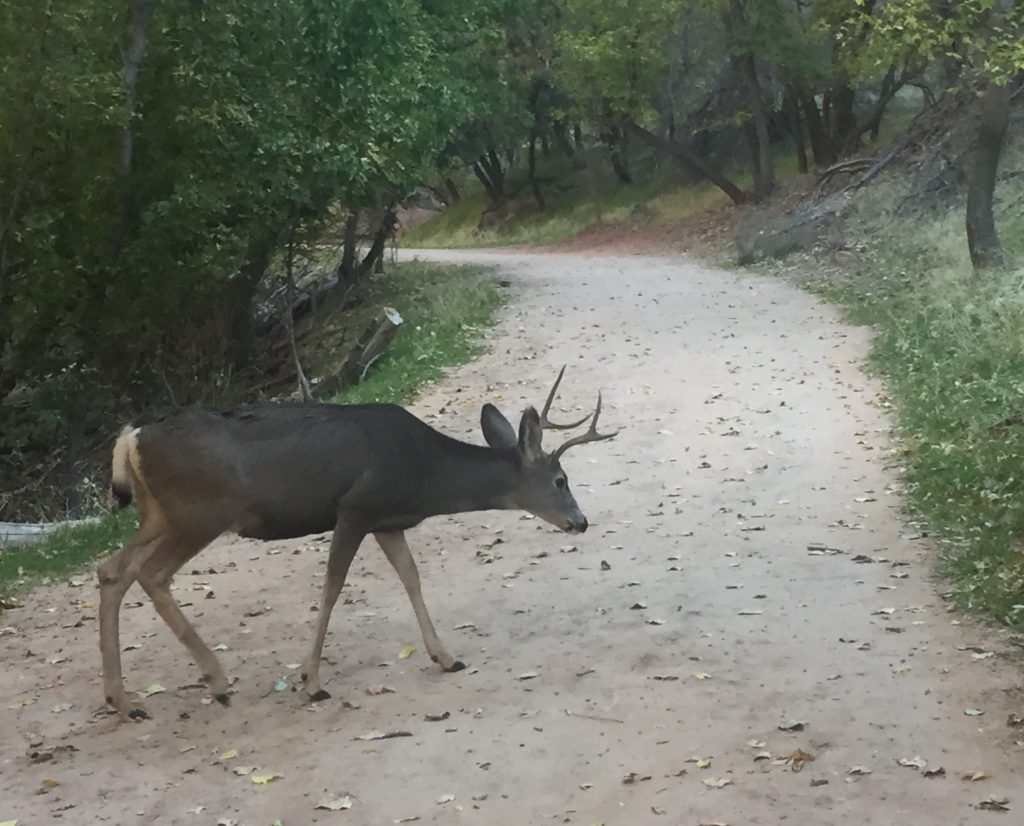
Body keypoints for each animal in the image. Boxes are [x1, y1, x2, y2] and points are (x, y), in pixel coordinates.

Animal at [99, 364, 614, 720]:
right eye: (561, 480)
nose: (581, 522)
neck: (424, 474)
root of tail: (130, 435)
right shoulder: (355, 508)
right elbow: (332, 587)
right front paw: (312, 681)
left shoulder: (387, 519)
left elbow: (411, 577)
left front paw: (446, 657)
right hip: (200, 513)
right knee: (151, 574)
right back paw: (217, 681)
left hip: (159, 514)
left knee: (112, 570)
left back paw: (124, 701)